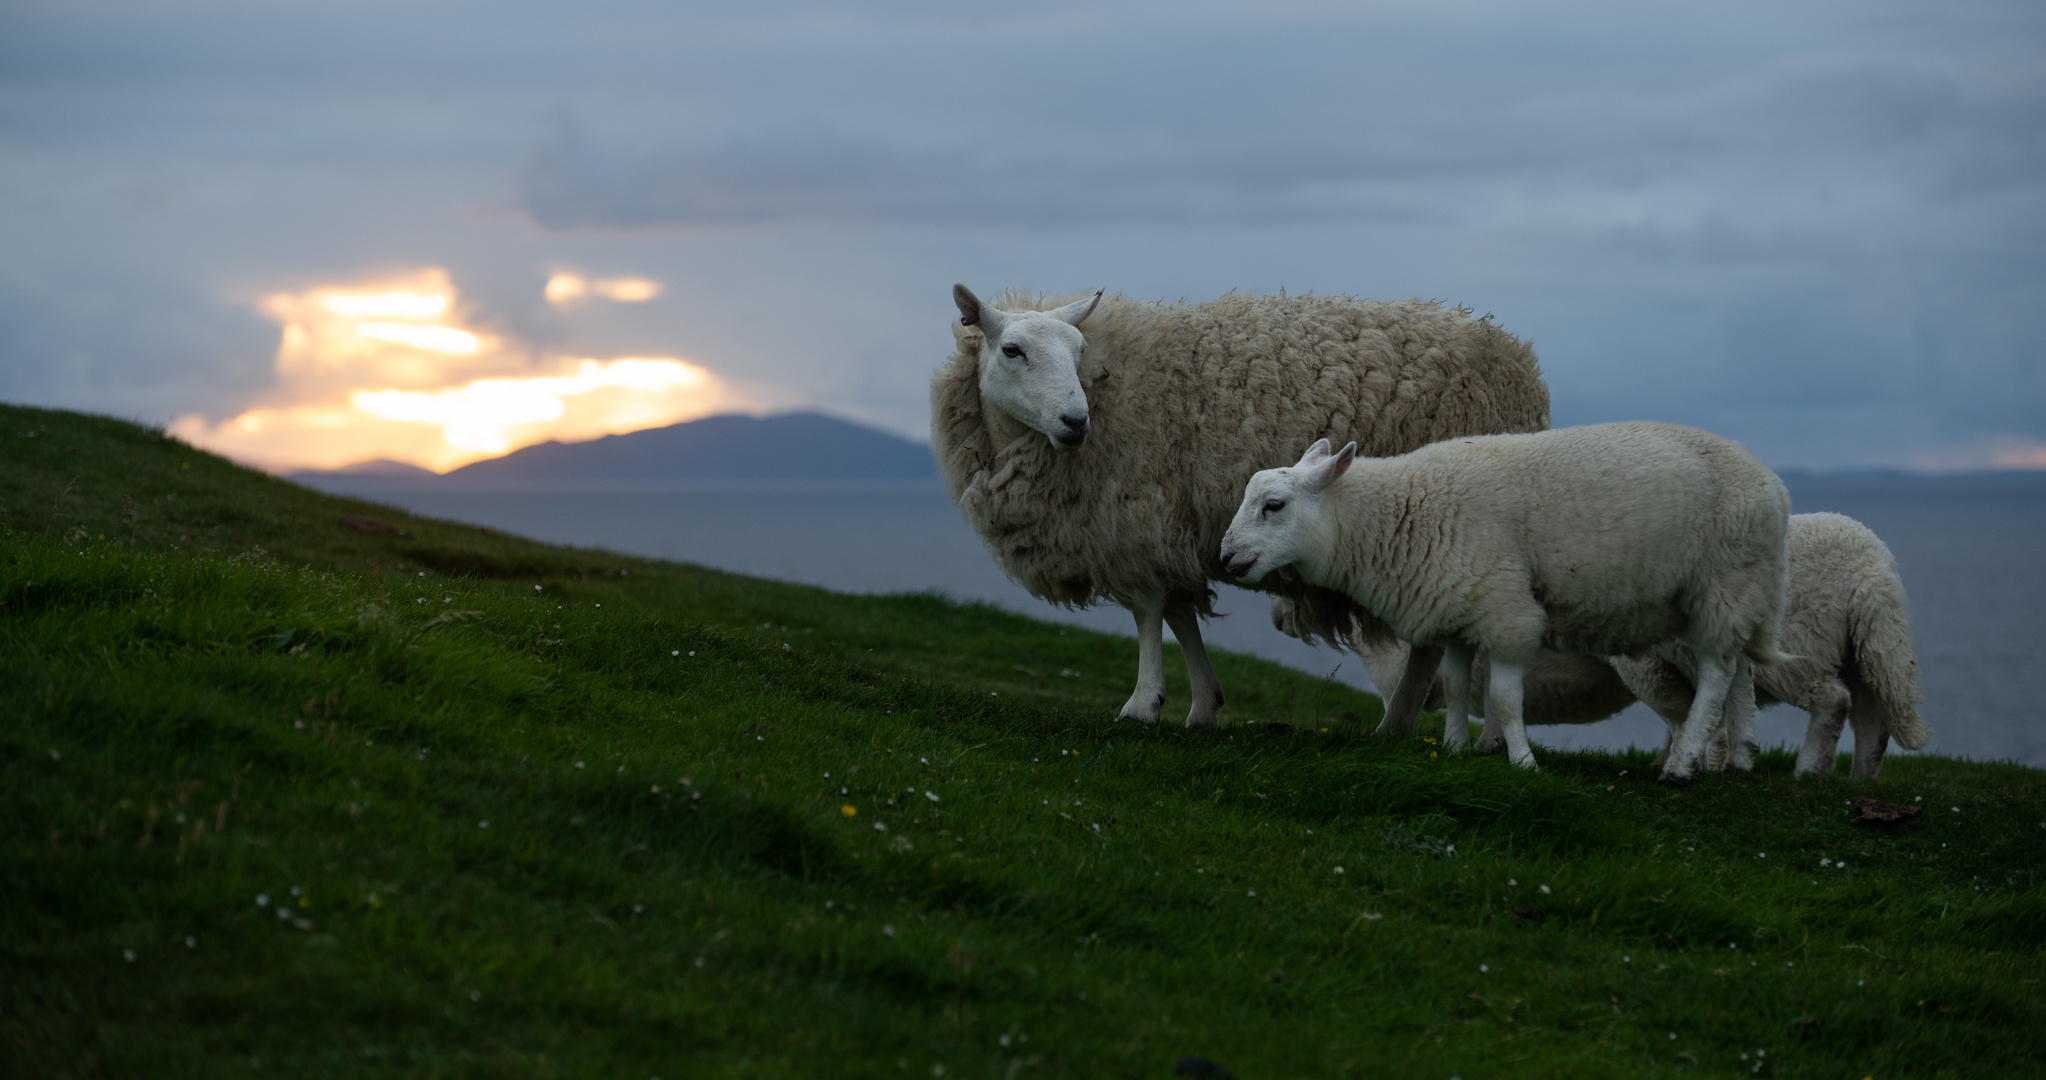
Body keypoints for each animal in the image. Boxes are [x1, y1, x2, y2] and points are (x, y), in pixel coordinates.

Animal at [937, 284, 1538, 724]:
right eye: (1012, 350)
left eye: (1080, 351)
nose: (1076, 421)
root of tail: (1520, 366)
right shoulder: (1166, 527)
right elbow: (1179, 611)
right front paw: (1204, 704)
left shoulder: (1137, 516)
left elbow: (1149, 611)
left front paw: (1144, 702)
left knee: (1430, 646)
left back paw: (1398, 724)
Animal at [1211, 417, 1792, 781]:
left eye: (1274, 505)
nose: (1227, 558)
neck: (1398, 512)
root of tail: (1774, 483)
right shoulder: (1455, 608)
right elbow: (1455, 687)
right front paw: (1453, 749)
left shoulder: (1504, 611)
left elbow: (1505, 699)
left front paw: (1523, 763)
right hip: (1728, 593)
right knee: (1739, 669)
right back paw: (1742, 757)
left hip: (1725, 581)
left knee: (1717, 672)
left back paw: (1683, 765)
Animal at [1604, 513, 1923, 777]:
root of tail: (1869, 566)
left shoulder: (1651, 669)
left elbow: (1682, 714)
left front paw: (1692, 762)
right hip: (1867, 645)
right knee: (1872, 715)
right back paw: (1858, 779)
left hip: (1797, 645)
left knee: (1835, 699)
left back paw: (1808, 771)